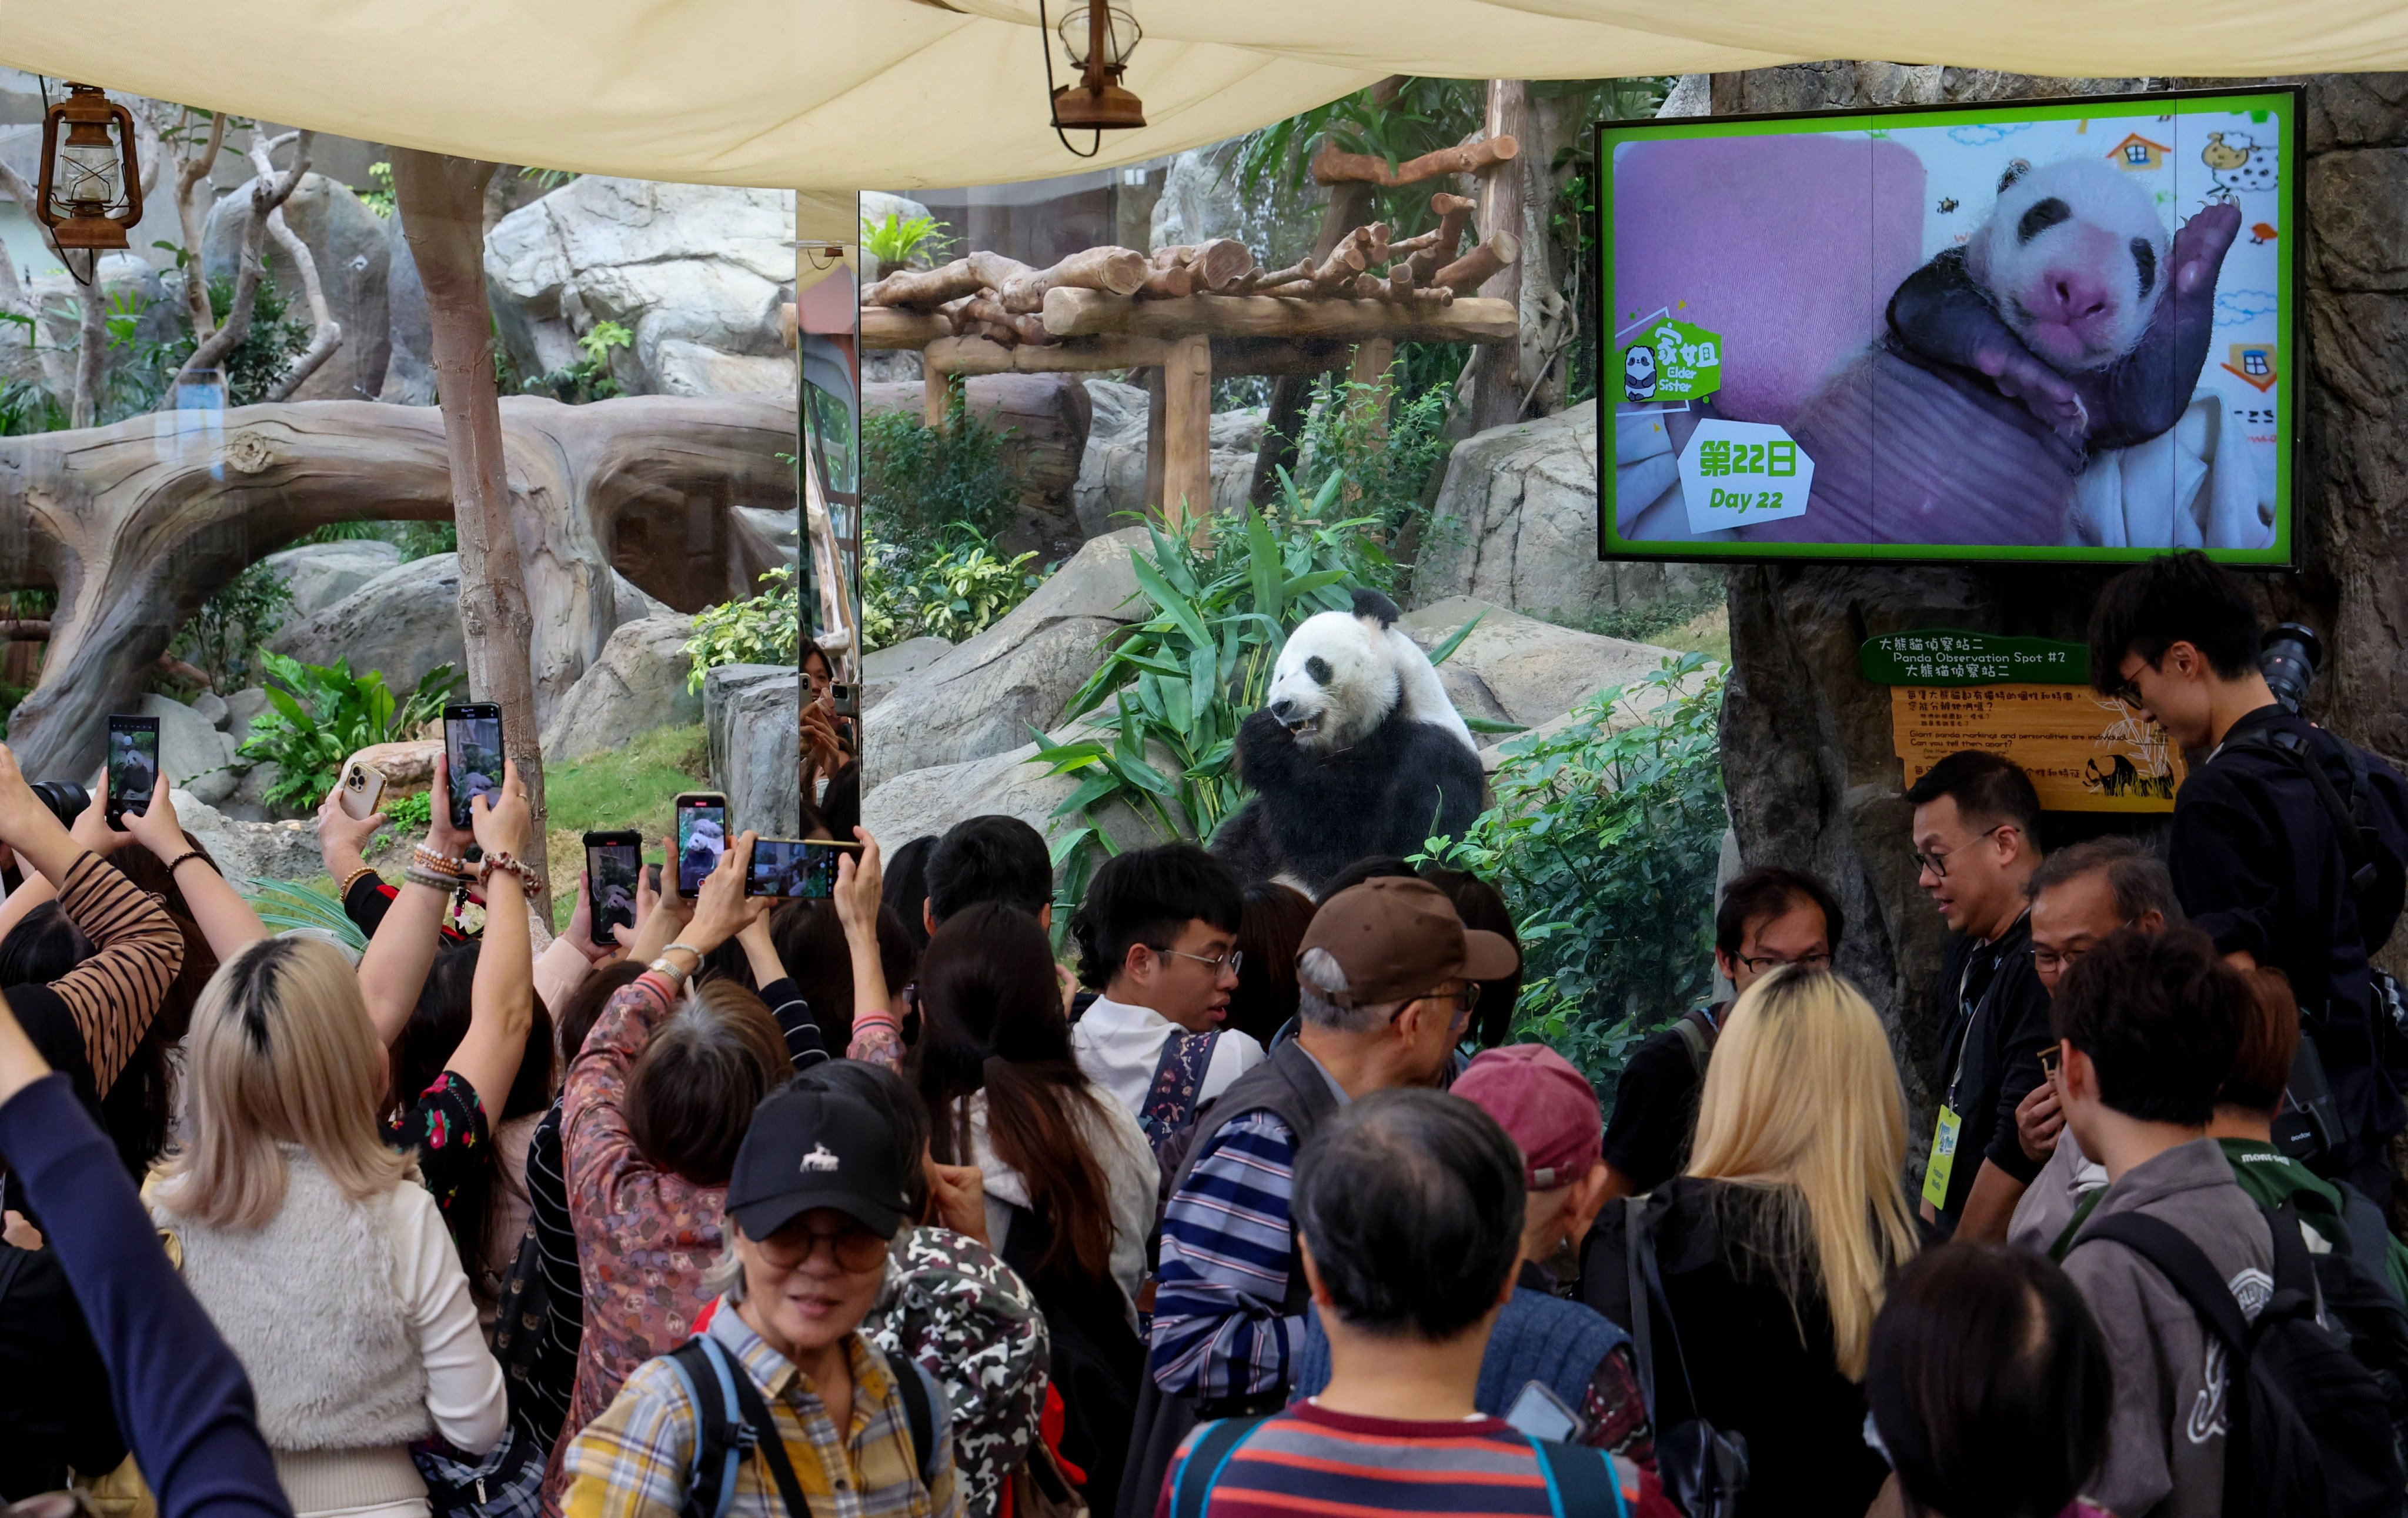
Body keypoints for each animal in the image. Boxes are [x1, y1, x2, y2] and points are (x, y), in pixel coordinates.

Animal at [1204, 588, 1483, 896]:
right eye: (1280, 676)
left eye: (1315, 666)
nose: (1281, 706)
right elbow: (1244, 845)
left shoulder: (1430, 759)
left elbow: (1362, 846)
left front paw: (1266, 743)